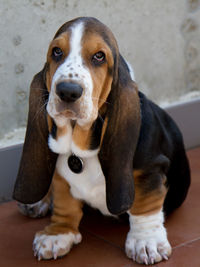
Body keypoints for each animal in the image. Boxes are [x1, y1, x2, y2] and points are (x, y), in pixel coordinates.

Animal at [12, 17, 191, 266]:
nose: (67, 91)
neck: (79, 148)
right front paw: (58, 233)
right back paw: (36, 202)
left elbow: (144, 205)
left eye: (99, 56)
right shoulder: (60, 175)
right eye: (56, 52)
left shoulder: (150, 170)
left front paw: (146, 242)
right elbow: (64, 201)